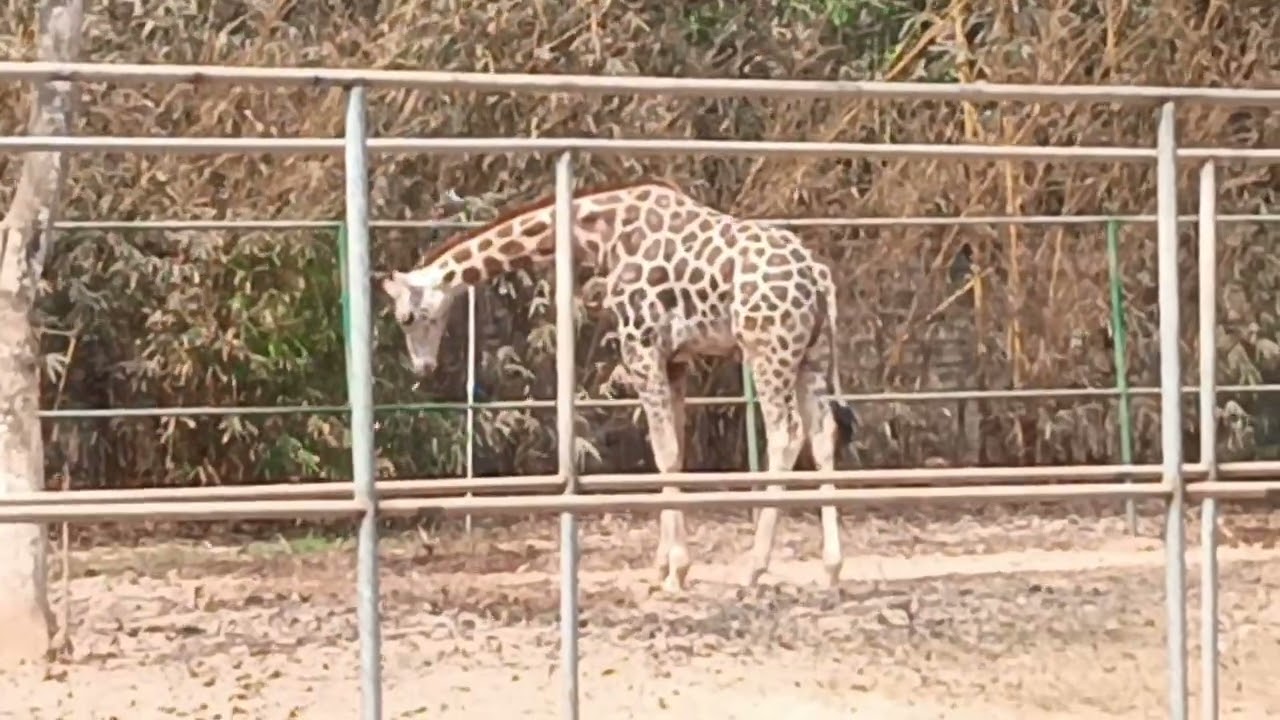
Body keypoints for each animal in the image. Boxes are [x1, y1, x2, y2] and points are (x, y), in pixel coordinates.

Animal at [380, 179, 857, 592]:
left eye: (407, 317)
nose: (422, 366)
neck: (603, 233)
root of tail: (819, 277)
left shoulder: (640, 346)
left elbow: (664, 452)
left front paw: (676, 571)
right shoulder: (675, 358)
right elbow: (673, 453)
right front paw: (663, 567)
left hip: (767, 349)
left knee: (786, 434)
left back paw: (754, 567)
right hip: (810, 355)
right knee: (824, 434)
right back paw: (832, 568)